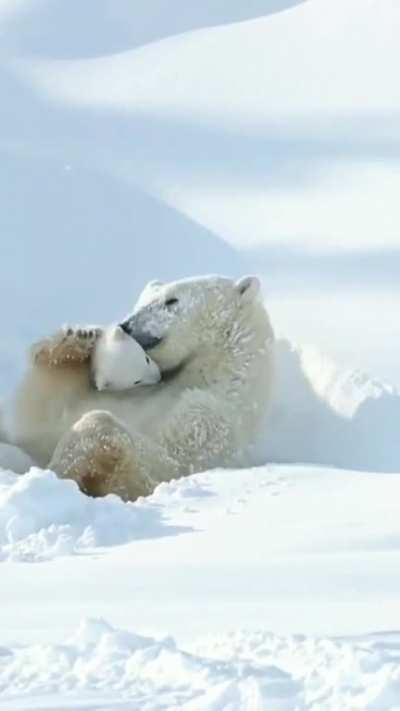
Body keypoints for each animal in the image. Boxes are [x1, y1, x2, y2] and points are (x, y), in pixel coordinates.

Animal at [11, 275, 274, 500]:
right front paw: (79, 336)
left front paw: (57, 473)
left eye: (171, 300)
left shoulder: (207, 422)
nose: (125, 325)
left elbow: (159, 467)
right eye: (143, 298)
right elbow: (42, 399)